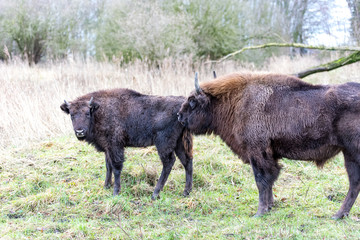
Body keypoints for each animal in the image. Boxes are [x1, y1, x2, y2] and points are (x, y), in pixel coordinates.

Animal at [60, 88, 193, 199]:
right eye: (71, 115)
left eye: (87, 113)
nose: (80, 131)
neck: (99, 111)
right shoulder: (108, 148)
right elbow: (108, 166)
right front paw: (106, 186)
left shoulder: (115, 146)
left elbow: (116, 168)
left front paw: (115, 192)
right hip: (179, 143)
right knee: (187, 161)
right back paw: (186, 192)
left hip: (163, 144)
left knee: (169, 162)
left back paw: (155, 193)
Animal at [177, 71, 360, 219]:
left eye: (192, 101)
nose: (179, 116)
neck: (237, 101)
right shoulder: (270, 155)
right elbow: (271, 179)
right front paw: (270, 206)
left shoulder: (257, 153)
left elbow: (262, 180)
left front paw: (260, 212)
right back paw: (340, 214)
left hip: (351, 153)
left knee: (354, 183)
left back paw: (337, 215)